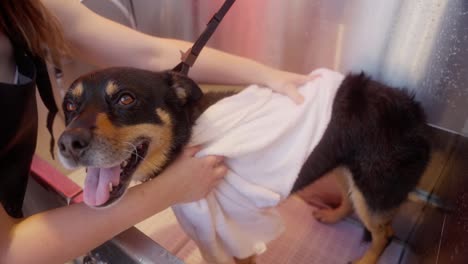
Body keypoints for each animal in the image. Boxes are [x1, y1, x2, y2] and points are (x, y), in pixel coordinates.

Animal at [56, 67, 430, 264]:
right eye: (69, 106)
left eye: (126, 99)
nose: (68, 144)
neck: (189, 132)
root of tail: (414, 111)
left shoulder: (234, 230)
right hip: (344, 168)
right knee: (352, 203)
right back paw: (332, 215)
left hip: (375, 187)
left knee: (384, 233)